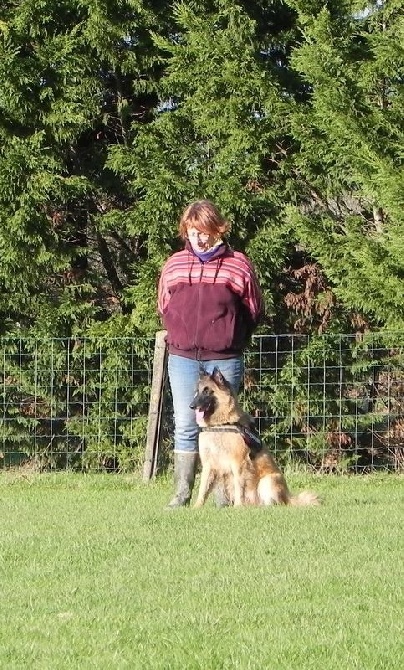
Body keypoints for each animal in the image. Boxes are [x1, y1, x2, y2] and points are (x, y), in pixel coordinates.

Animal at [191, 368, 320, 510]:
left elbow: (239, 487)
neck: (220, 425)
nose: (191, 406)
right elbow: (203, 489)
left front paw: (238, 506)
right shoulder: (208, 465)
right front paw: (196, 507)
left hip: (268, 481)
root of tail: (288, 498)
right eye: (197, 392)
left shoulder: (239, 463)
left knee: (274, 504)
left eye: (207, 391)